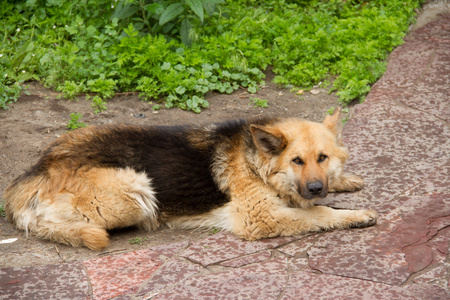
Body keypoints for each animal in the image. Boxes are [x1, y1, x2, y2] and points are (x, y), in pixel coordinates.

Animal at [2, 109, 376, 250]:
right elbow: (319, 213)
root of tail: (39, 167)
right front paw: (355, 214)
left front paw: (346, 181)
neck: (255, 160)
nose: (315, 187)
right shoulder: (262, 217)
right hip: (136, 189)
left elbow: (321, 197)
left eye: (322, 158)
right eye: (297, 161)